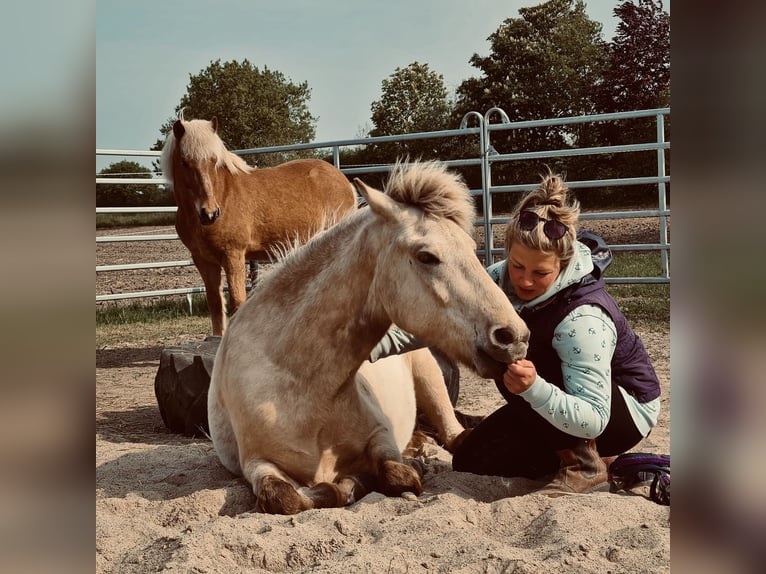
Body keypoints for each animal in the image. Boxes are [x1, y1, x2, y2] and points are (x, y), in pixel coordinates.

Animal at [160, 116, 358, 338]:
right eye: (184, 162)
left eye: (214, 161)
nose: (209, 213)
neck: (223, 195)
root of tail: (344, 181)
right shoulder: (204, 261)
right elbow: (216, 305)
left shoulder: (233, 255)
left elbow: (238, 302)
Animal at [210, 162, 536, 516]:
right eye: (426, 256)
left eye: (471, 248)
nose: (513, 336)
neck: (300, 388)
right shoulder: (256, 463)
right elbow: (285, 498)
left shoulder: (382, 435)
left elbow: (397, 475)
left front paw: (370, 479)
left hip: (430, 380)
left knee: (454, 436)